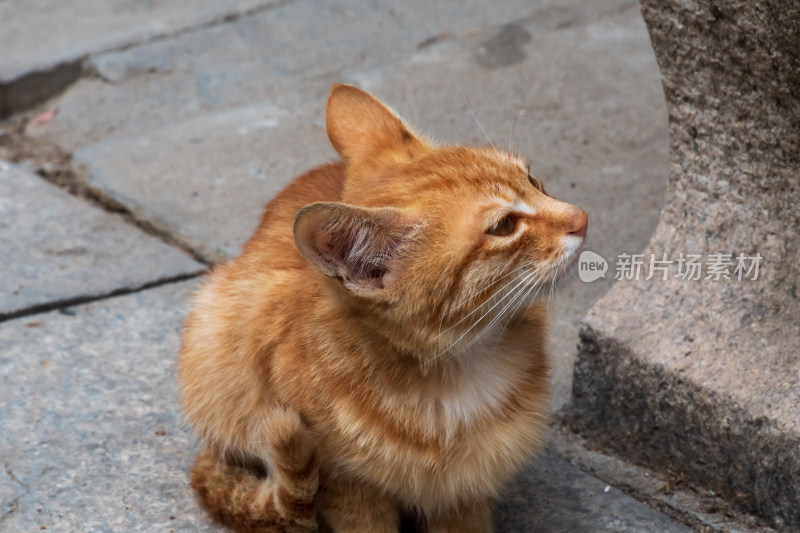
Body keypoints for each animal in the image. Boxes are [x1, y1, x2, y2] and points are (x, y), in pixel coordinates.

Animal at [180, 85, 588, 528]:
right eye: (503, 226)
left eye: (532, 179)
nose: (582, 218)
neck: (454, 372)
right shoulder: (348, 487)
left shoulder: (467, 492)